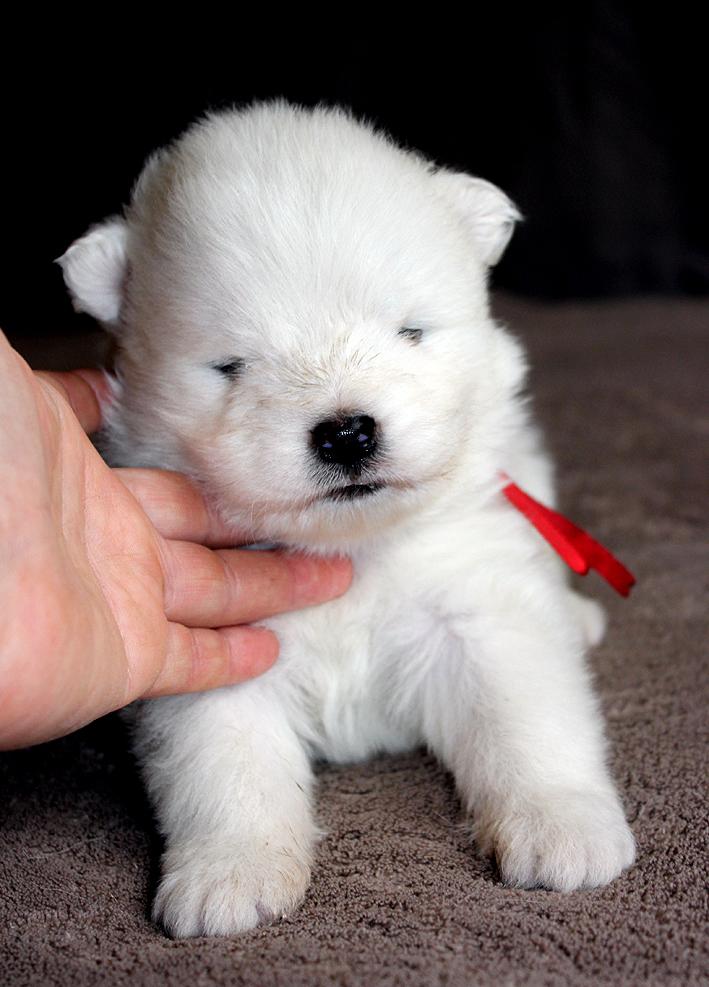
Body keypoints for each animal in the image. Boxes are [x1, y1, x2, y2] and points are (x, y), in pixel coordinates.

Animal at [60, 102, 632, 940]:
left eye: (410, 330)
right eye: (229, 364)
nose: (346, 433)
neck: (352, 551)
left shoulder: (477, 608)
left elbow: (528, 716)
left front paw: (565, 826)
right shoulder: (224, 650)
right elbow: (225, 765)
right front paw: (230, 872)